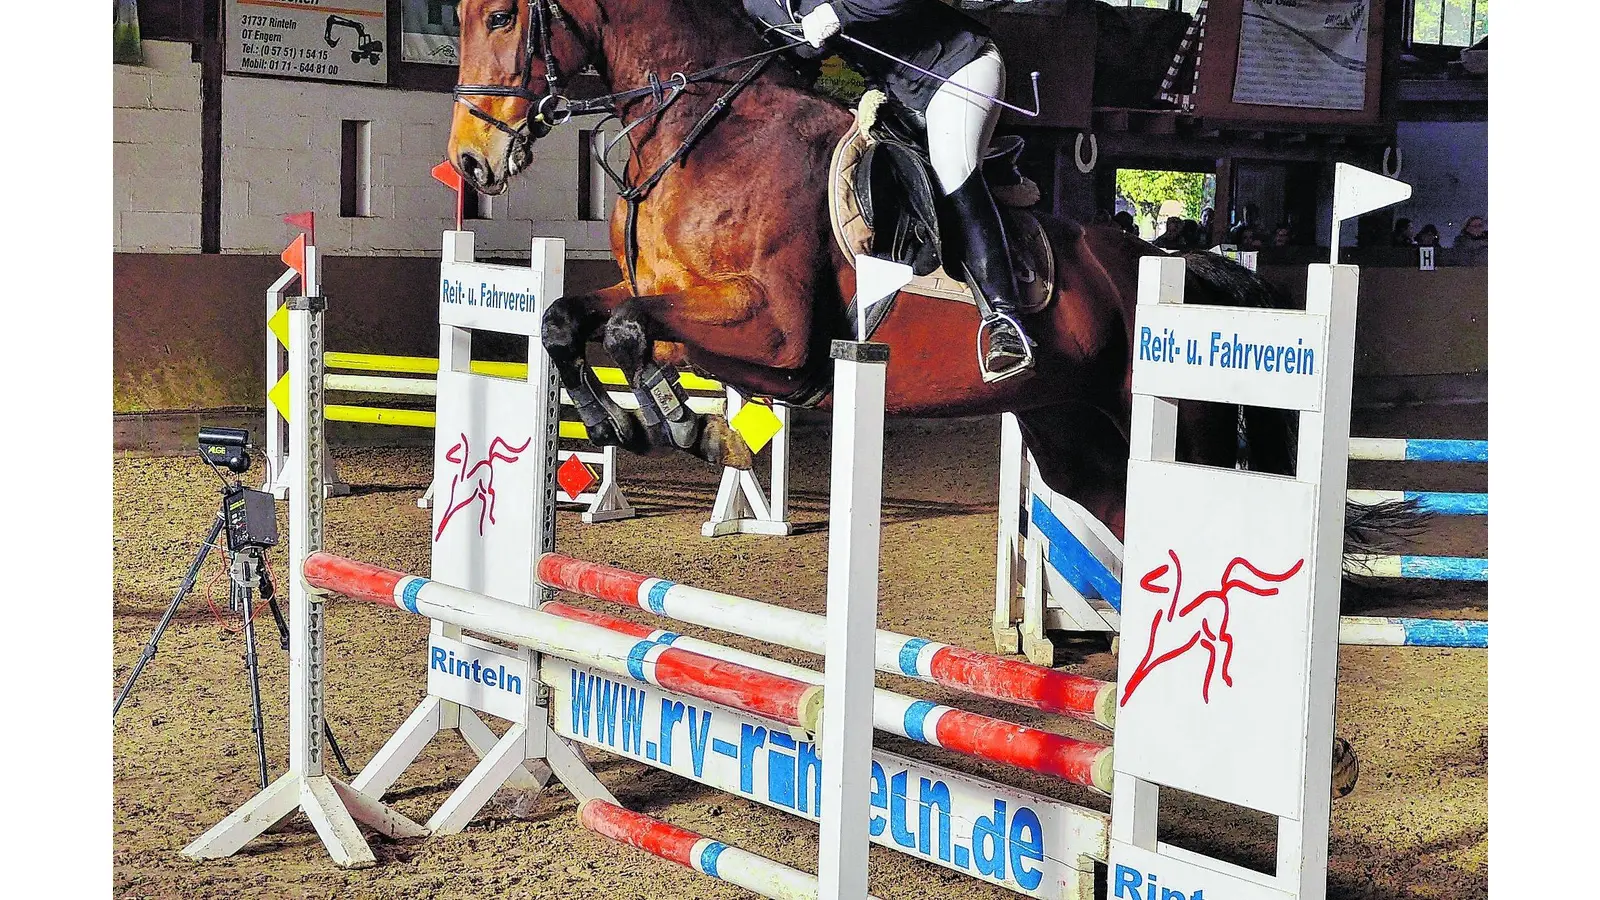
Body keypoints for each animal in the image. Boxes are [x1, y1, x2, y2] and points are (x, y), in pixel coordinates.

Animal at [444, 0, 1408, 547]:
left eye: (502, 18)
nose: (471, 162)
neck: (704, 129)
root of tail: (1187, 266)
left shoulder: (781, 339)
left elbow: (629, 328)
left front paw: (689, 429)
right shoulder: (697, 316)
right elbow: (578, 320)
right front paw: (634, 423)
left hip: (1174, 428)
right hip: (1076, 441)